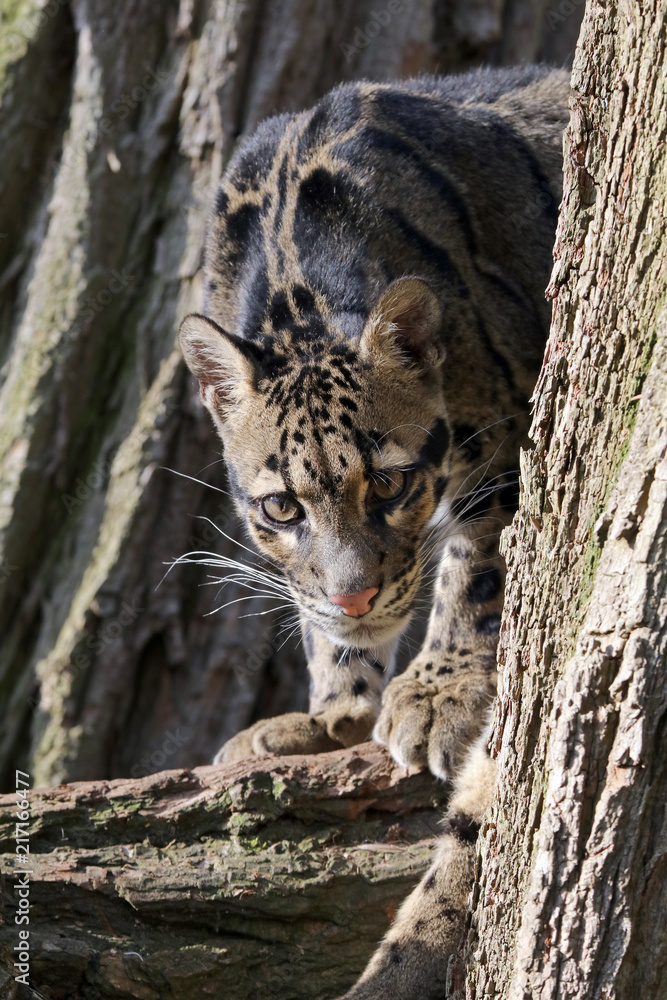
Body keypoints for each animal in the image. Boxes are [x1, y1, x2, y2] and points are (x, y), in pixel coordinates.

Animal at [179, 64, 568, 1000]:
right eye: (281, 508)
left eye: (389, 483)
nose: (357, 596)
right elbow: (316, 621)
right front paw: (334, 711)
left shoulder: (504, 432)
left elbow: (478, 562)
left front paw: (436, 692)